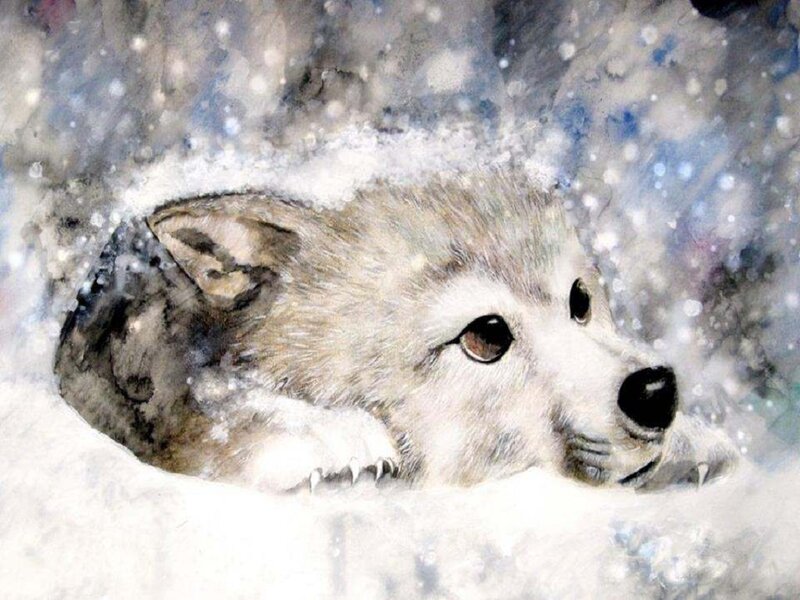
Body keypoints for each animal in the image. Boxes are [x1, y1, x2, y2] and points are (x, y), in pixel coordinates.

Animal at [55, 171, 736, 492]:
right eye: (486, 336)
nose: (656, 392)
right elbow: (235, 425)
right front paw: (331, 434)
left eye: (580, 301)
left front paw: (694, 441)